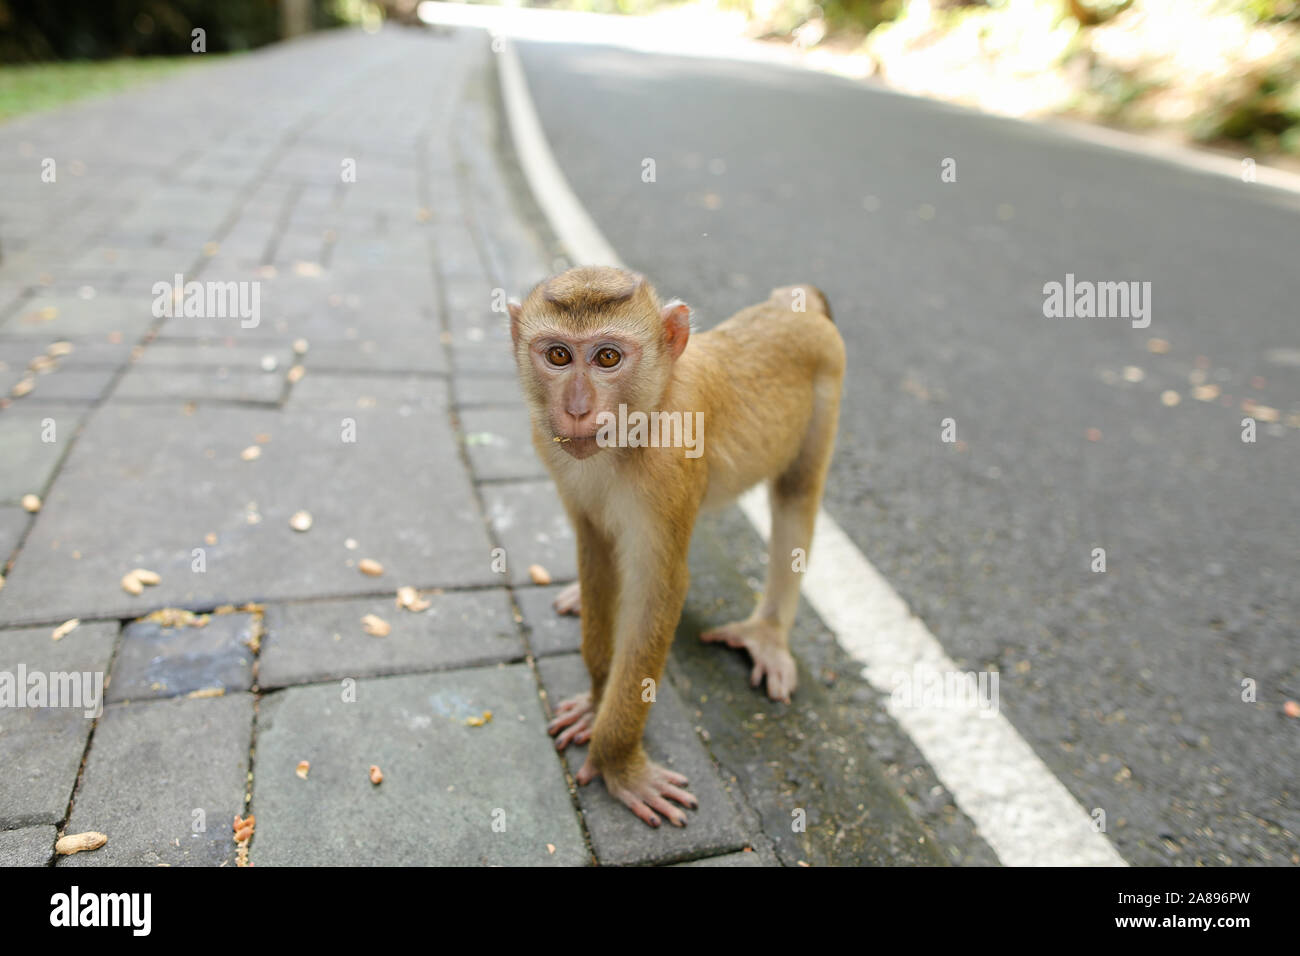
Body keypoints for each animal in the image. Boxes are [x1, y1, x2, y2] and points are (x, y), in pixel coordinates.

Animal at [506, 265, 842, 827]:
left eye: (608, 358)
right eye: (557, 355)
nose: (576, 408)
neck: (642, 419)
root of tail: (791, 306)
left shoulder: (668, 464)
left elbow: (659, 589)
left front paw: (618, 762)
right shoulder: (553, 450)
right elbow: (598, 554)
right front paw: (597, 699)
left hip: (828, 386)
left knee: (796, 494)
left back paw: (766, 634)